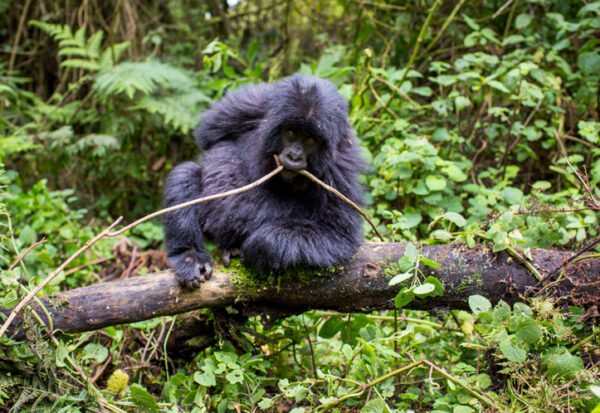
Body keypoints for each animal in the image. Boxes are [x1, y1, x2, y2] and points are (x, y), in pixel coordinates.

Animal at [162, 73, 366, 286]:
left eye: (311, 140)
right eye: (290, 133)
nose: (294, 156)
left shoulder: (339, 171)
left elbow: (337, 234)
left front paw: (260, 246)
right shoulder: (254, 104)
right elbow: (208, 134)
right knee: (186, 174)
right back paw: (190, 256)